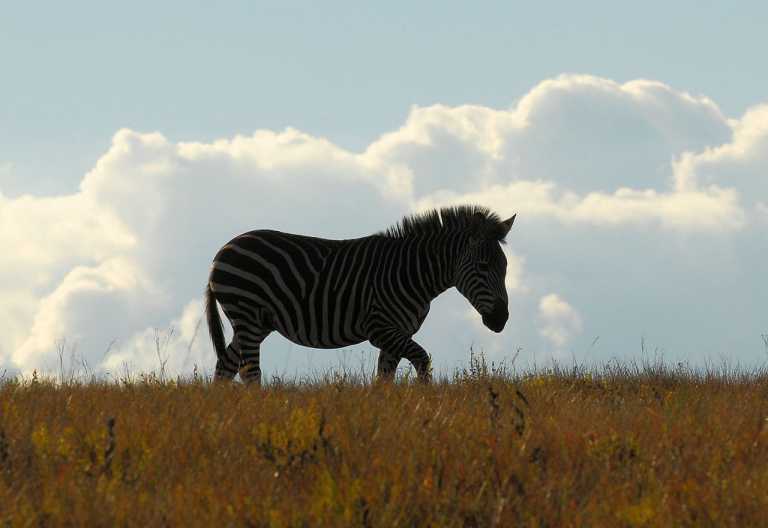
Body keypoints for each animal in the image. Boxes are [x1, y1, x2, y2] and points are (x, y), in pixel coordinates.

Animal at [205, 205, 515, 384]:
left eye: (505, 268)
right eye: (483, 266)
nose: (501, 320)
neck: (412, 272)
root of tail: (222, 251)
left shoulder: (398, 333)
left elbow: (384, 380)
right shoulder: (381, 329)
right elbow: (422, 360)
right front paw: (425, 406)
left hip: (257, 323)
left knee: (226, 365)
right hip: (247, 313)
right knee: (249, 371)